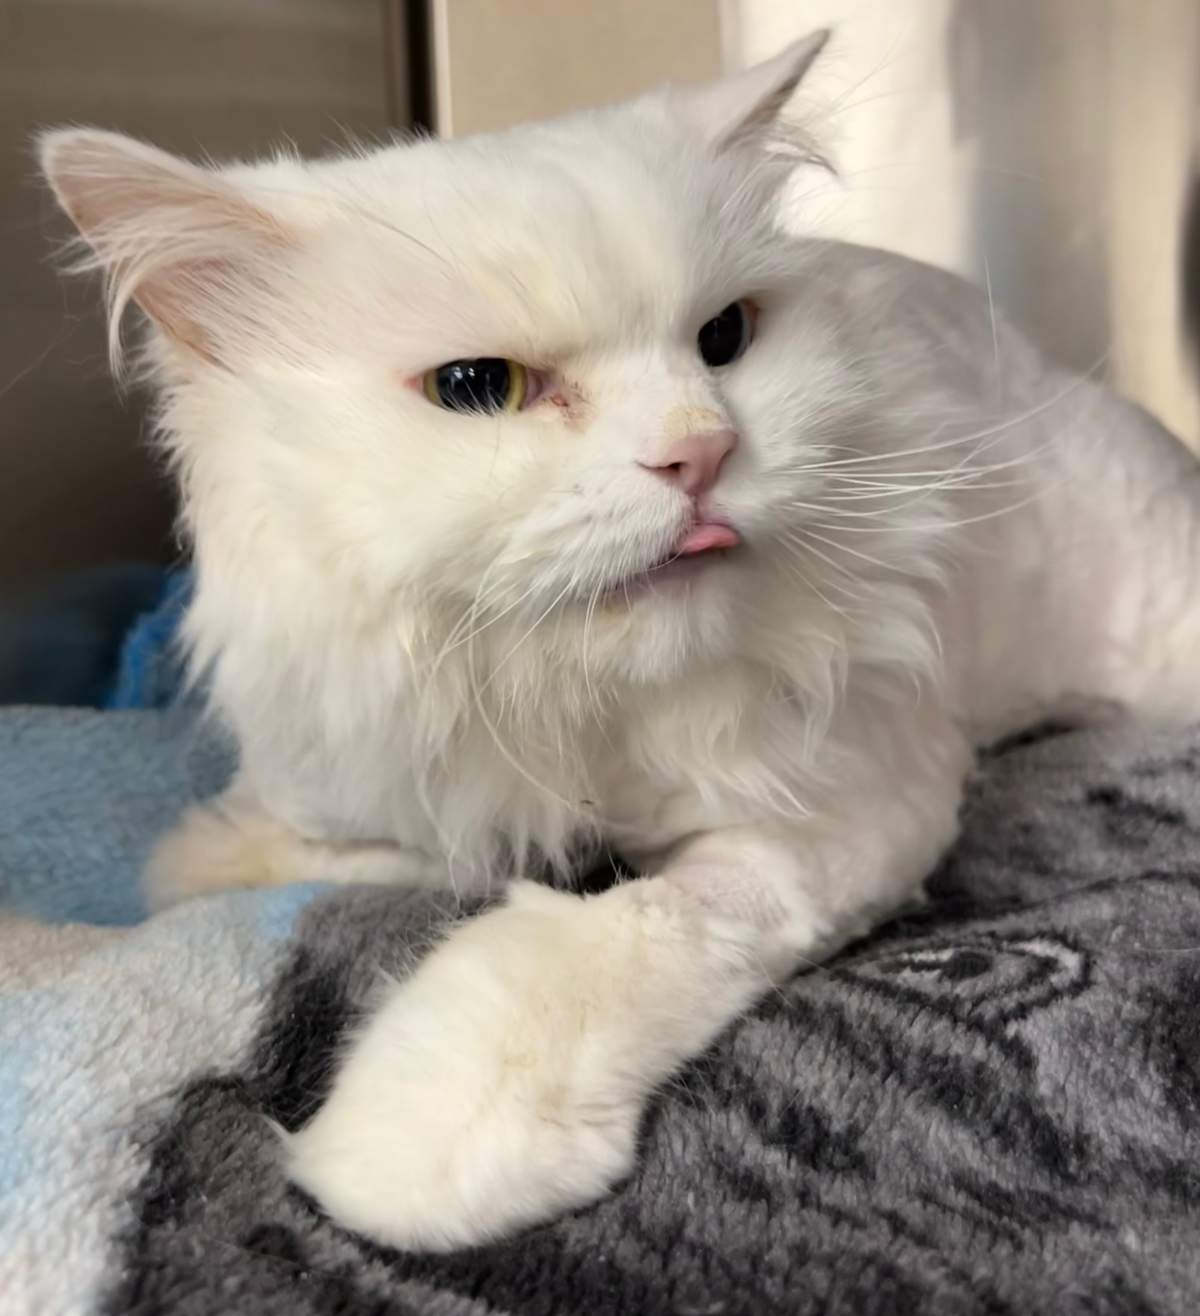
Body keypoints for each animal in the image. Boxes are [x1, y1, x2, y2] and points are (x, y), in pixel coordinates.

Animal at [40, 30, 1200, 1252]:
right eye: (478, 387)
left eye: (724, 339)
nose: (702, 450)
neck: (569, 697)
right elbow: (334, 850)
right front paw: (221, 856)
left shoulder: (854, 809)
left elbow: (588, 941)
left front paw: (414, 1146)